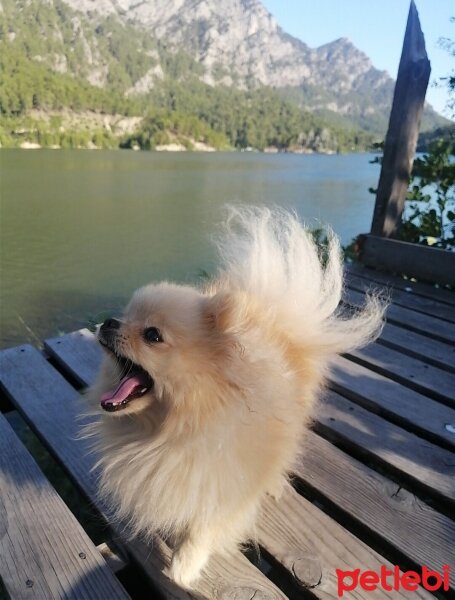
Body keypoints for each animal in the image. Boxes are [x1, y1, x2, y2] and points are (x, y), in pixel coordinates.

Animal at [86, 206, 384, 584]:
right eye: (125, 316)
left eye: (152, 335)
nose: (110, 322)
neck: (167, 430)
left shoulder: (227, 482)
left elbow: (205, 526)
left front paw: (185, 566)